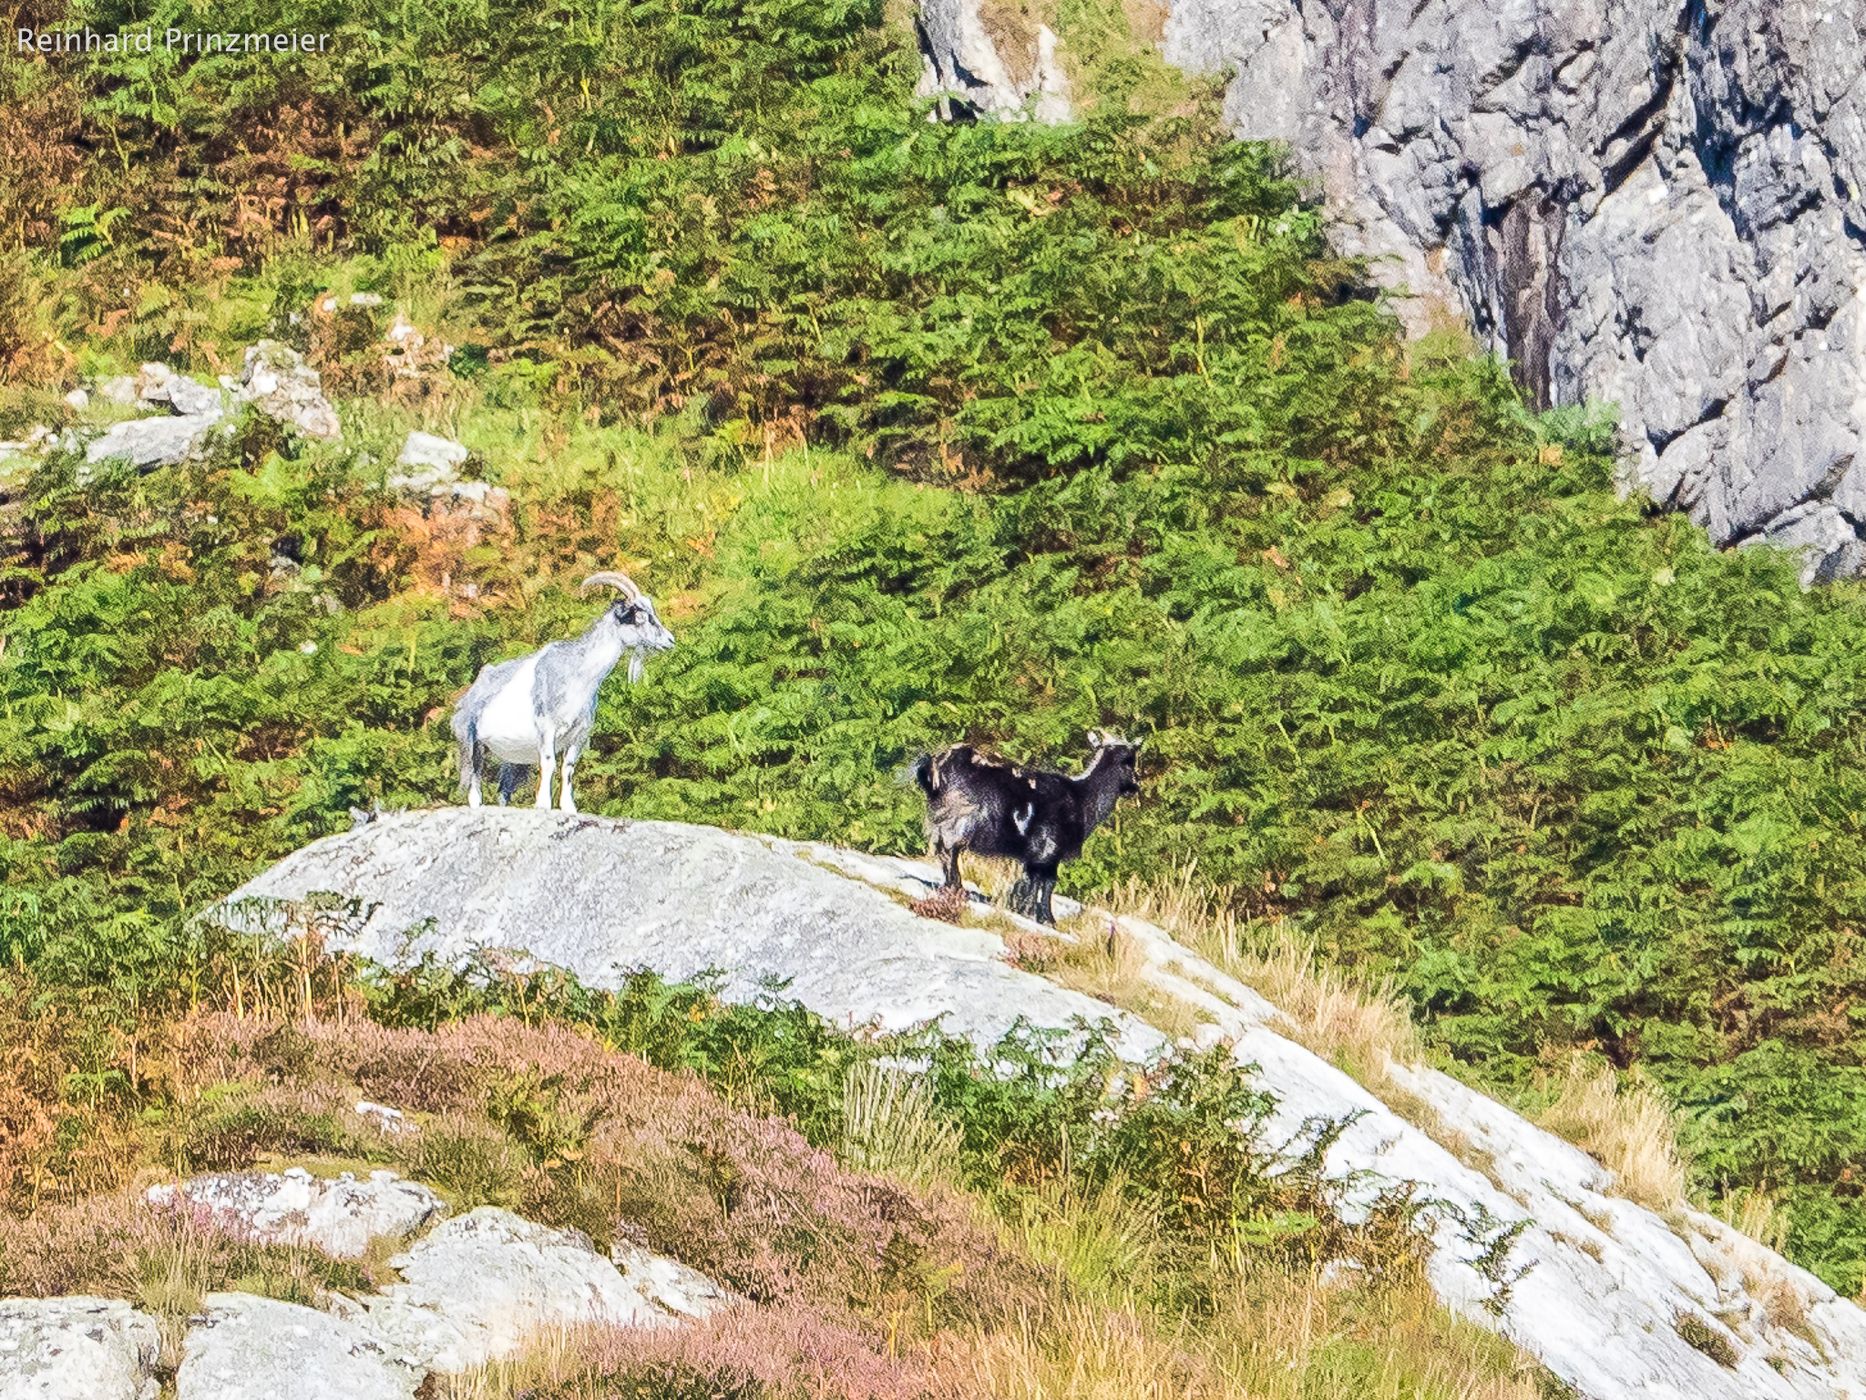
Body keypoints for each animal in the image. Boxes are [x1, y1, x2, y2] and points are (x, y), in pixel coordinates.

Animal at [451, 571, 675, 813]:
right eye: (639, 616)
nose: (670, 640)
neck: (577, 674)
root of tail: (472, 692)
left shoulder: (580, 733)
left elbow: (568, 767)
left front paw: (569, 807)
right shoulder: (546, 727)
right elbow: (549, 763)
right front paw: (543, 805)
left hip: (512, 757)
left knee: (504, 790)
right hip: (472, 741)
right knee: (475, 776)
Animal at [911, 730, 1142, 925]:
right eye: (1129, 762)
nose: (1135, 786)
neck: (1082, 797)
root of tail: (935, 765)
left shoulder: (1035, 853)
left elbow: (1031, 879)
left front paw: (1025, 909)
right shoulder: (1049, 849)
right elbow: (1046, 882)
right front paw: (1045, 917)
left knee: (943, 851)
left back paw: (949, 886)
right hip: (960, 818)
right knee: (949, 851)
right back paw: (956, 887)